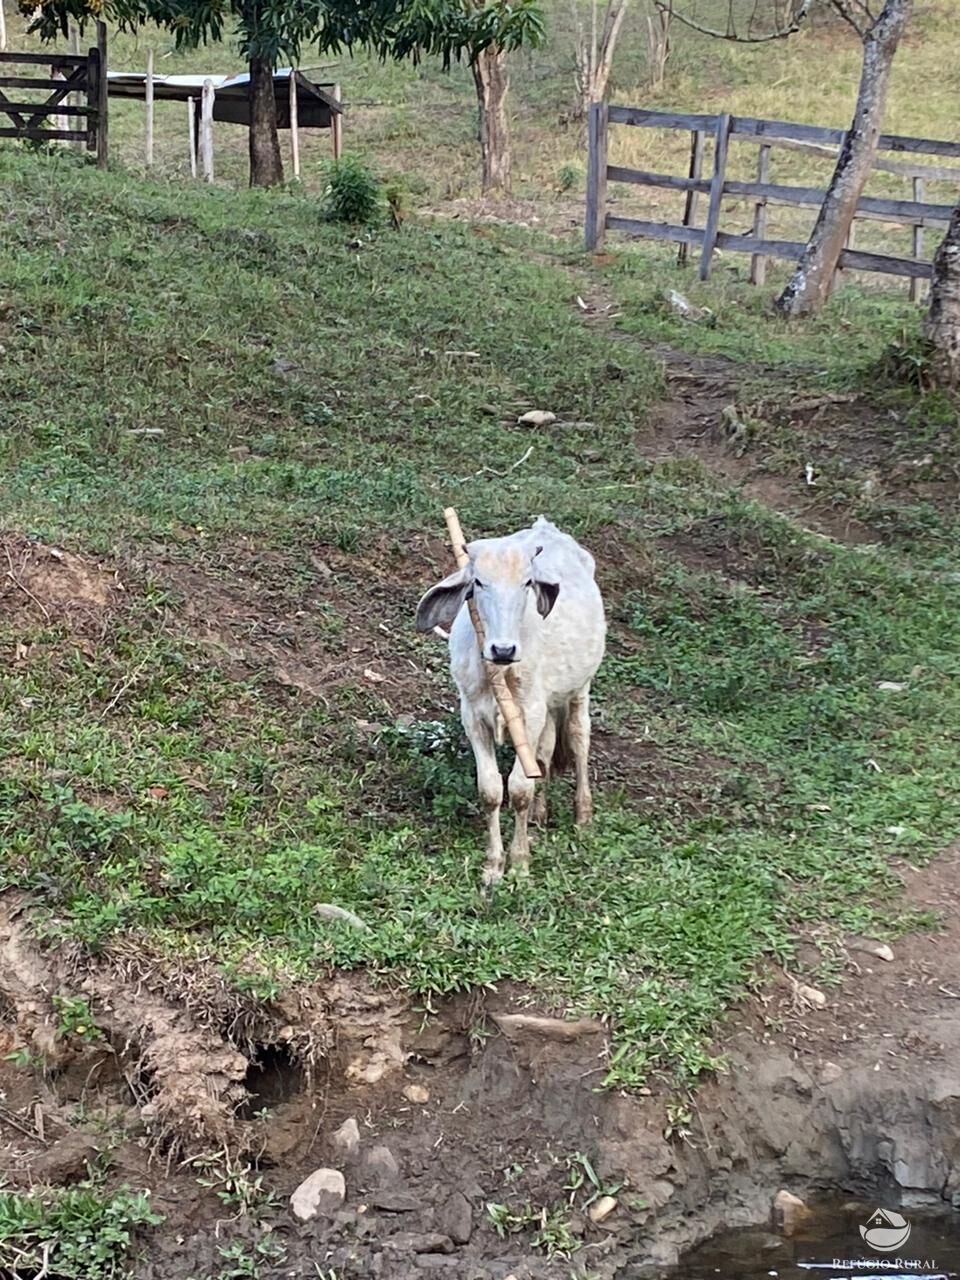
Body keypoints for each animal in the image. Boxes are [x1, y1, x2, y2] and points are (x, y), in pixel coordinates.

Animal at [414, 514, 609, 885]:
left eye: (527, 583)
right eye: (478, 582)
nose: (503, 649)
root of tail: (547, 527)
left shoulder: (528, 714)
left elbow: (519, 789)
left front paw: (519, 864)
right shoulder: (473, 716)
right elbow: (491, 790)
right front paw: (493, 865)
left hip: (580, 688)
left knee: (579, 740)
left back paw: (583, 815)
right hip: (550, 704)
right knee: (546, 752)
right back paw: (539, 814)